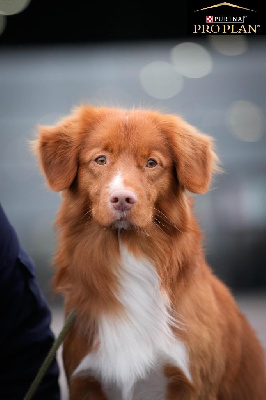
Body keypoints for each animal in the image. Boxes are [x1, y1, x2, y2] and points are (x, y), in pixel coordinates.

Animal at [34, 107, 264, 400]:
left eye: (152, 163)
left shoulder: (190, 384)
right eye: (100, 159)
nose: (122, 199)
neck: (126, 252)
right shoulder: (86, 382)